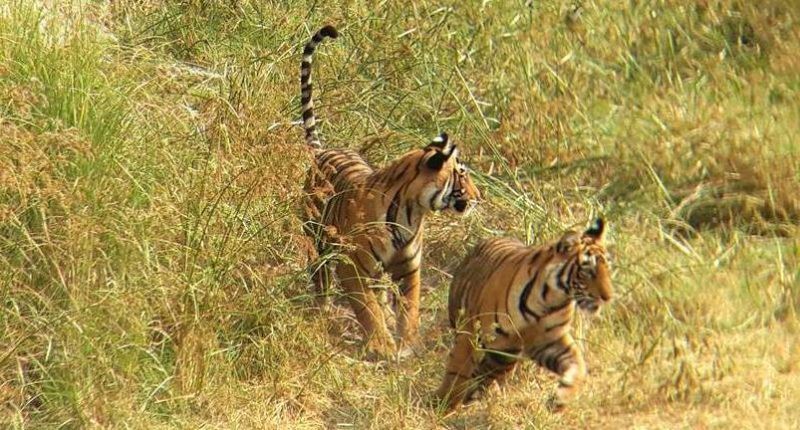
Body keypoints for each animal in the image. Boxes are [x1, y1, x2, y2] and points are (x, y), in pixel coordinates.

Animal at [298, 24, 482, 360]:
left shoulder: (409, 268)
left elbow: (409, 307)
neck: (411, 211)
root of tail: (323, 149)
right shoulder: (352, 265)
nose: (478, 197)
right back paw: (323, 308)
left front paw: (406, 342)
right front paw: (381, 344)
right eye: (462, 174)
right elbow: (366, 308)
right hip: (316, 236)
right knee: (321, 275)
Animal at [432, 220, 612, 412]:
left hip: (507, 353)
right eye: (588, 271)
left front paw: (561, 399)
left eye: (608, 269)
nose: (608, 297)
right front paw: (444, 403)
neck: (551, 299)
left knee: (489, 371)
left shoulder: (548, 340)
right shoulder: (471, 332)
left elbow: (578, 364)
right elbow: (457, 369)